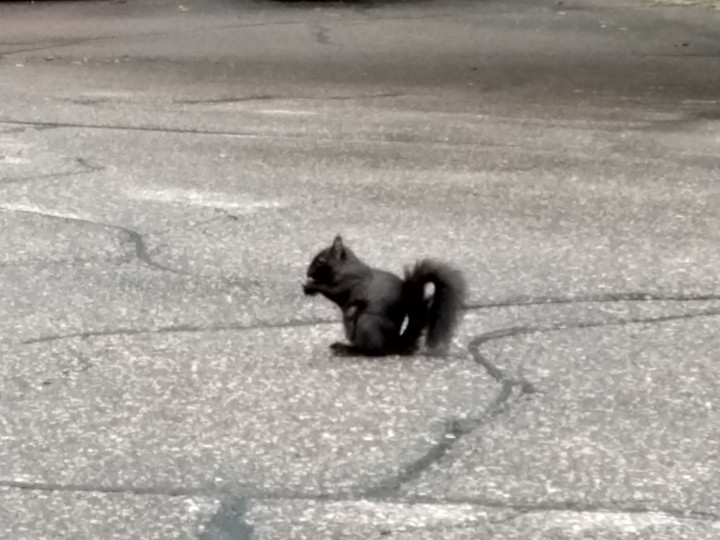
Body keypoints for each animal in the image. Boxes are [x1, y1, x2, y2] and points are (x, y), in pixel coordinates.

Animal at [302, 235, 466, 356]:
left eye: (320, 261)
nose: (308, 273)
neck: (344, 267)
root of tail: (392, 344)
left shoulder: (349, 283)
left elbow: (333, 291)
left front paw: (310, 286)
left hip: (367, 323)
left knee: (372, 351)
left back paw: (347, 349)